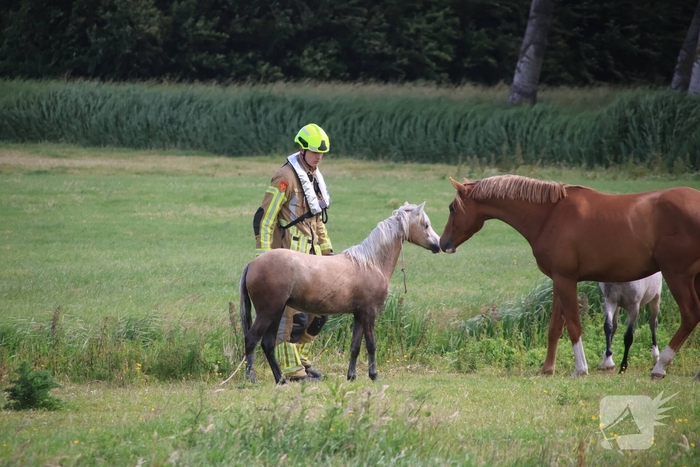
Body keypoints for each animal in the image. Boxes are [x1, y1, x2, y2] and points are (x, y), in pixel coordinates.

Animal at [239, 202, 441, 384]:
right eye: (425, 224)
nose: (438, 245)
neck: (370, 263)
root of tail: (252, 264)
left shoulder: (358, 315)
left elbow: (355, 347)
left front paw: (351, 376)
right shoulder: (369, 313)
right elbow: (371, 345)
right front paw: (374, 376)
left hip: (276, 312)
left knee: (268, 344)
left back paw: (281, 379)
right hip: (268, 312)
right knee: (251, 340)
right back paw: (252, 379)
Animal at [439, 174, 700, 380]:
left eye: (452, 208)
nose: (443, 244)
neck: (550, 215)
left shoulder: (566, 280)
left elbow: (573, 324)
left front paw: (580, 369)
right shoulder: (558, 280)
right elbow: (555, 326)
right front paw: (547, 369)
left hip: (677, 276)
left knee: (690, 315)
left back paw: (660, 366)